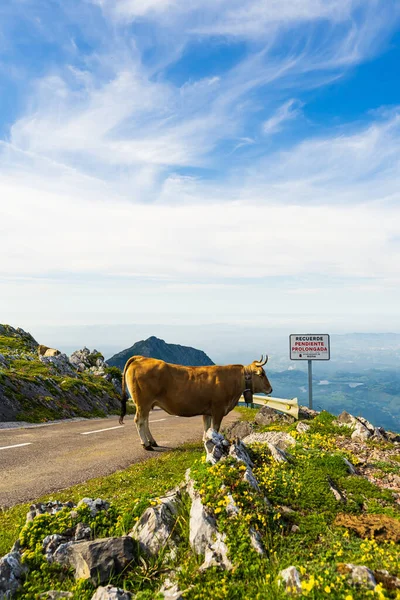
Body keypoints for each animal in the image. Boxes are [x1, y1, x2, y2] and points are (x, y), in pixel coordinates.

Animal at [119, 354, 272, 448]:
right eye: (262, 374)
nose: (270, 389)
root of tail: (141, 358)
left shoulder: (208, 411)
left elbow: (207, 427)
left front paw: (206, 441)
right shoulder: (218, 409)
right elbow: (215, 428)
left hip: (147, 404)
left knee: (145, 421)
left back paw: (152, 442)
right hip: (143, 403)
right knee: (139, 421)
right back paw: (146, 444)